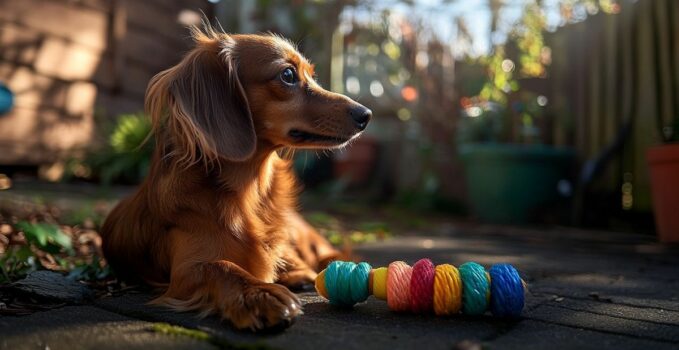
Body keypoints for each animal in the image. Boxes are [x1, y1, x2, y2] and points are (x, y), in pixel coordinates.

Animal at [102, 25, 372, 330]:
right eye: (288, 75)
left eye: (311, 75)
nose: (366, 115)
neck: (247, 191)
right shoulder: (185, 269)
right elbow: (221, 266)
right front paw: (260, 294)